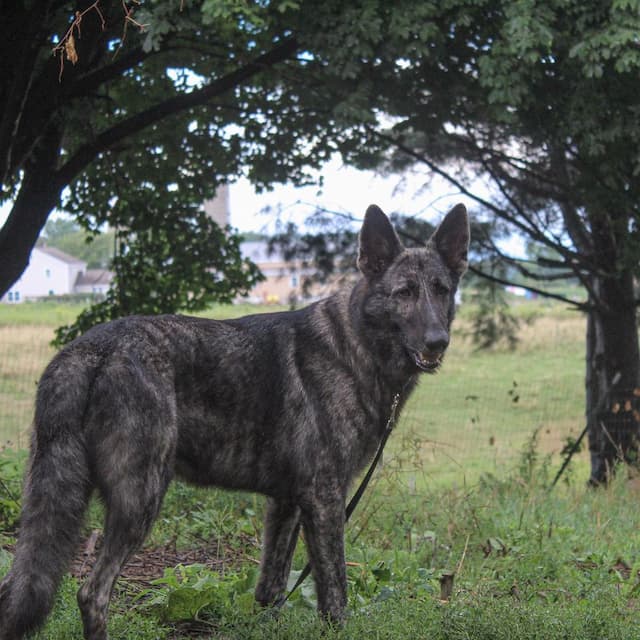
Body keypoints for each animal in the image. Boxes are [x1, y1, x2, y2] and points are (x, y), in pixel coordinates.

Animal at [1, 202, 470, 636]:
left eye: (442, 290)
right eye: (404, 292)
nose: (438, 342)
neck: (356, 344)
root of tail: (90, 350)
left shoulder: (286, 504)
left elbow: (270, 589)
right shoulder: (325, 500)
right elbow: (334, 593)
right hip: (141, 498)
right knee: (92, 593)